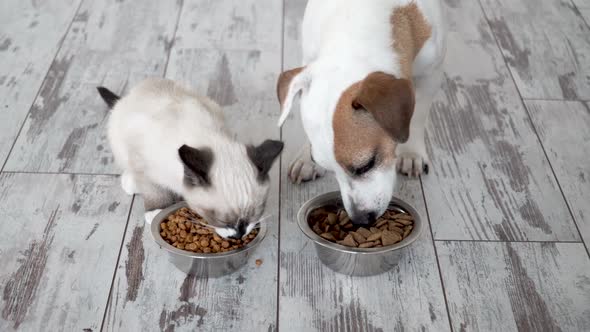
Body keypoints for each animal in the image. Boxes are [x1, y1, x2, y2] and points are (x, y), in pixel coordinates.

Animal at [98, 78, 284, 239]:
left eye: (256, 212)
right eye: (220, 220)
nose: (238, 235)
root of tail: (129, 95)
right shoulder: (142, 163)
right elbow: (155, 192)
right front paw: (156, 211)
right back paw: (130, 183)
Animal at [280, 0, 446, 226]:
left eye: (366, 166)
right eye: (328, 167)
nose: (360, 219)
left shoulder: (432, 73)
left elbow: (418, 115)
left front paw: (411, 152)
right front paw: (307, 158)